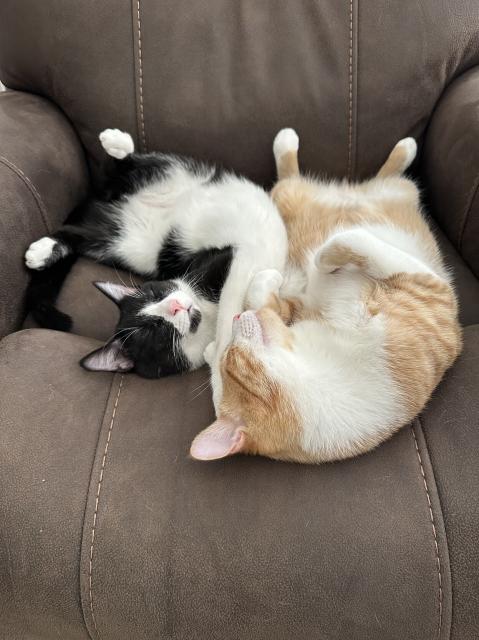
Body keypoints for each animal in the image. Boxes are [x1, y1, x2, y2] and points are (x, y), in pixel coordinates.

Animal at [26, 131, 288, 380]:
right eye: (154, 331)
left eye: (155, 292)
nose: (175, 306)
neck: (206, 313)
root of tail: (113, 202)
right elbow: (231, 306)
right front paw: (219, 356)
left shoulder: (221, 257)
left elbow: (231, 295)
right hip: (129, 246)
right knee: (82, 235)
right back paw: (44, 251)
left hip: (169, 175)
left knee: (133, 167)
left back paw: (116, 143)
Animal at [190, 127, 462, 462]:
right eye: (229, 358)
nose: (238, 316)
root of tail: (348, 193)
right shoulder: (427, 284)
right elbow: (348, 241)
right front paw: (318, 261)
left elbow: (268, 291)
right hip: (291, 196)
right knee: (291, 174)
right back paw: (288, 140)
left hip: (390, 193)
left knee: (385, 175)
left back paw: (404, 147)